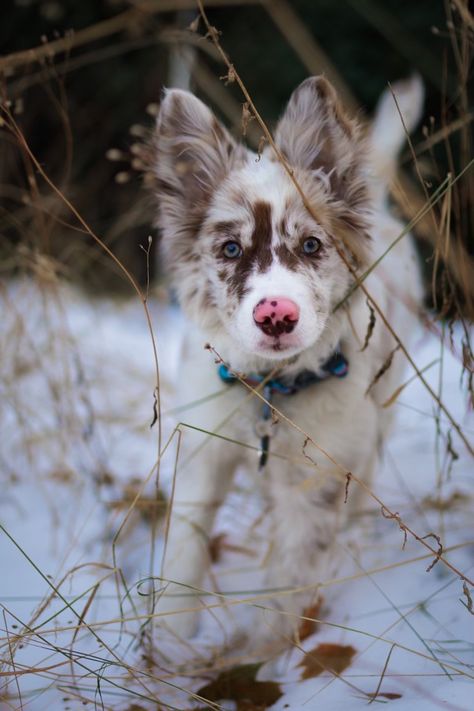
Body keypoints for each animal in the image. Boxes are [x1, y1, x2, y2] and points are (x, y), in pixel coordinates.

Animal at [151, 75, 422, 648]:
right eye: (230, 249)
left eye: (313, 245)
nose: (276, 314)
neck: (270, 391)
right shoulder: (203, 445)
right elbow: (184, 546)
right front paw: (169, 644)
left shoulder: (317, 473)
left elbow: (289, 579)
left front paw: (260, 655)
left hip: (381, 408)